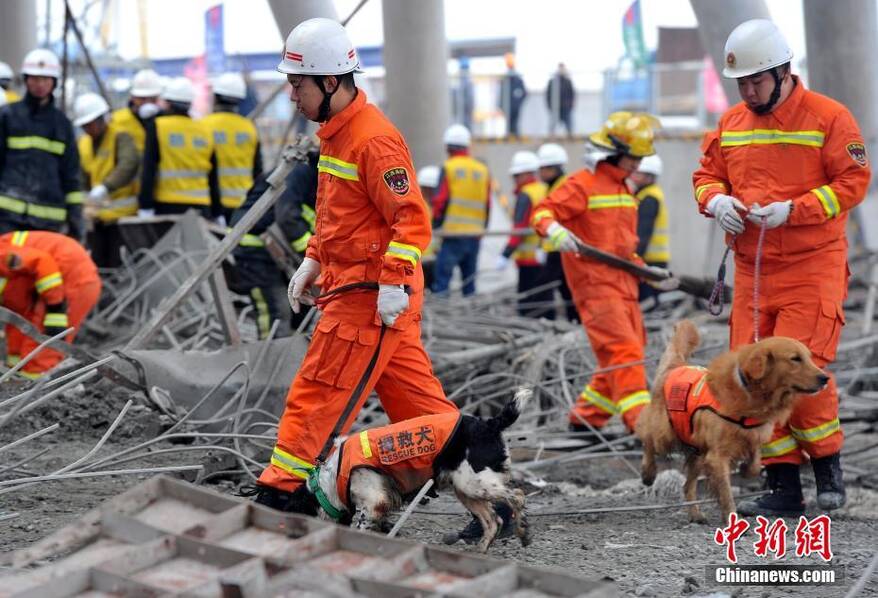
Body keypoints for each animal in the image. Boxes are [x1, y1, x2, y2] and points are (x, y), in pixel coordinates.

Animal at [300, 390, 532, 552]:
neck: (332, 478)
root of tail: (490, 425)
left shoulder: (375, 501)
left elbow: (363, 525)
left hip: (474, 484)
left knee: (518, 496)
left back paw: (523, 532)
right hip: (465, 489)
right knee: (493, 520)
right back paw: (481, 549)